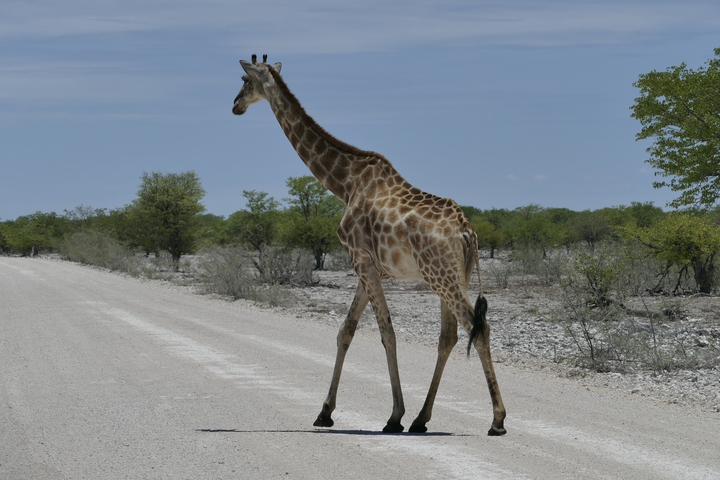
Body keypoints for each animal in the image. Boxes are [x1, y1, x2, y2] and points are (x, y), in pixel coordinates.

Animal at [232, 54, 506, 436]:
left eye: (245, 80)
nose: (235, 105)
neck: (344, 183)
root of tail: (467, 231)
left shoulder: (360, 260)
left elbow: (386, 333)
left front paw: (393, 416)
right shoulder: (369, 267)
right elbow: (346, 331)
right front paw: (325, 412)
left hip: (442, 277)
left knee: (477, 329)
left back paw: (497, 420)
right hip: (452, 277)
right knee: (450, 336)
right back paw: (422, 419)